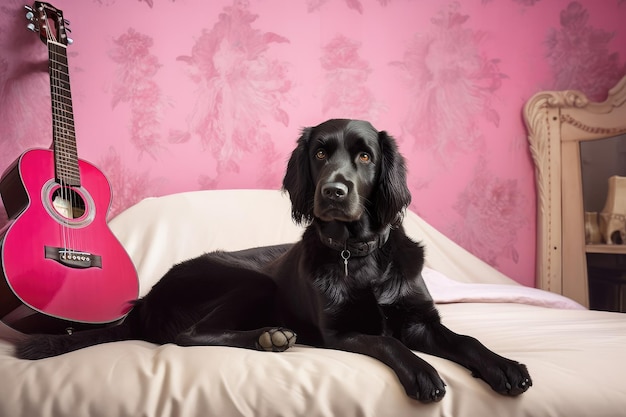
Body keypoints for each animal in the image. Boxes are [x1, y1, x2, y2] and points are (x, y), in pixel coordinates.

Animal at [17, 118, 528, 402]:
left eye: (364, 156)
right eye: (320, 152)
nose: (334, 192)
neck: (358, 255)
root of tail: (144, 302)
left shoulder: (420, 320)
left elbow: (466, 339)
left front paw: (503, 366)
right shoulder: (341, 333)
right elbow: (387, 341)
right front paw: (423, 372)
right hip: (251, 281)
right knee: (187, 336)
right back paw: (271, 337)